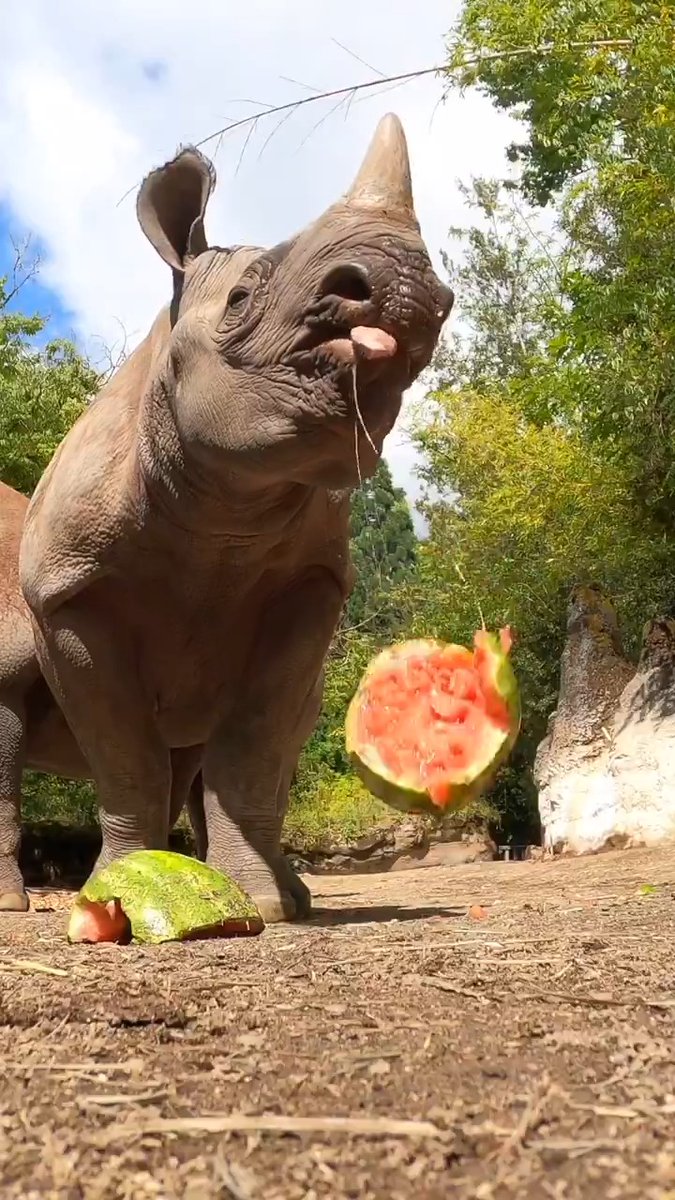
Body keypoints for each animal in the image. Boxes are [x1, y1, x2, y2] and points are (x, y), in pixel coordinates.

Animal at [6, 114, 451, 922]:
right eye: (242, 298)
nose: (406, 291)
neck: (219, 505)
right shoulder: (68, 594)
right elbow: (126, 756)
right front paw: (124, 886)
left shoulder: (310, 586)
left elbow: (254, 746)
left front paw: (264, 908)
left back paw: (286, 895)